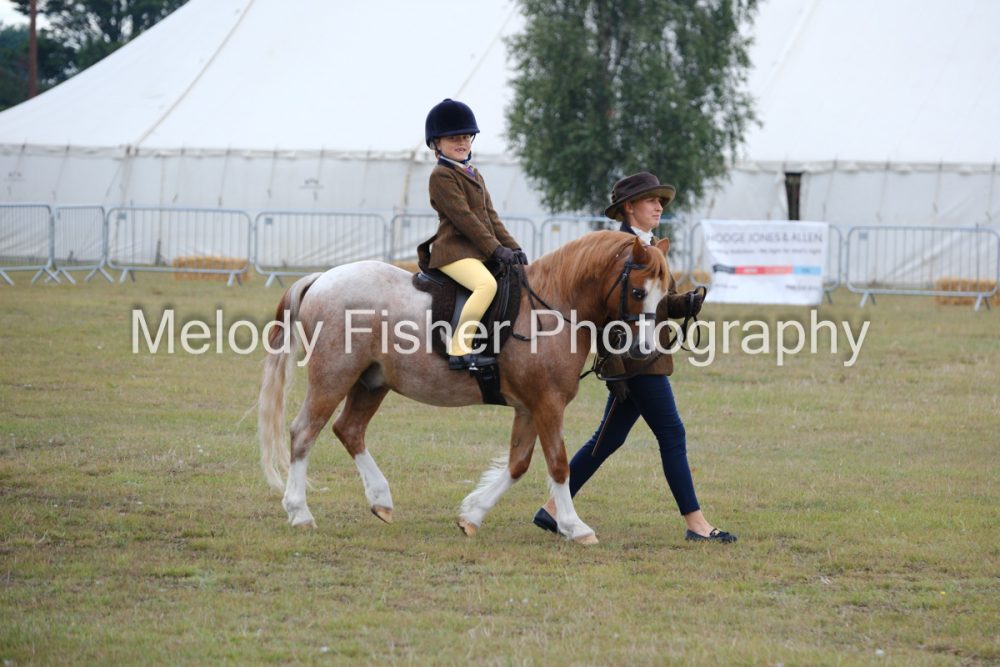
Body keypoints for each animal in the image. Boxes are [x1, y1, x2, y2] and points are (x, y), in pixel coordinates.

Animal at [257, 230, 672, 544]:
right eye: (638, 292)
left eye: (663, 295)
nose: (645, 350)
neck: (552, 307)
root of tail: (320, 279)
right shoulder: (548, 404)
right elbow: (558, 464)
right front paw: (576, 527)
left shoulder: (529, 407)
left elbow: (518, 464)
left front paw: (472, 514)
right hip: (334, 376)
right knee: (304, 432)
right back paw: (300, 513)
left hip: (372, 382)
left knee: (349, 429)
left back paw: (381, 500)